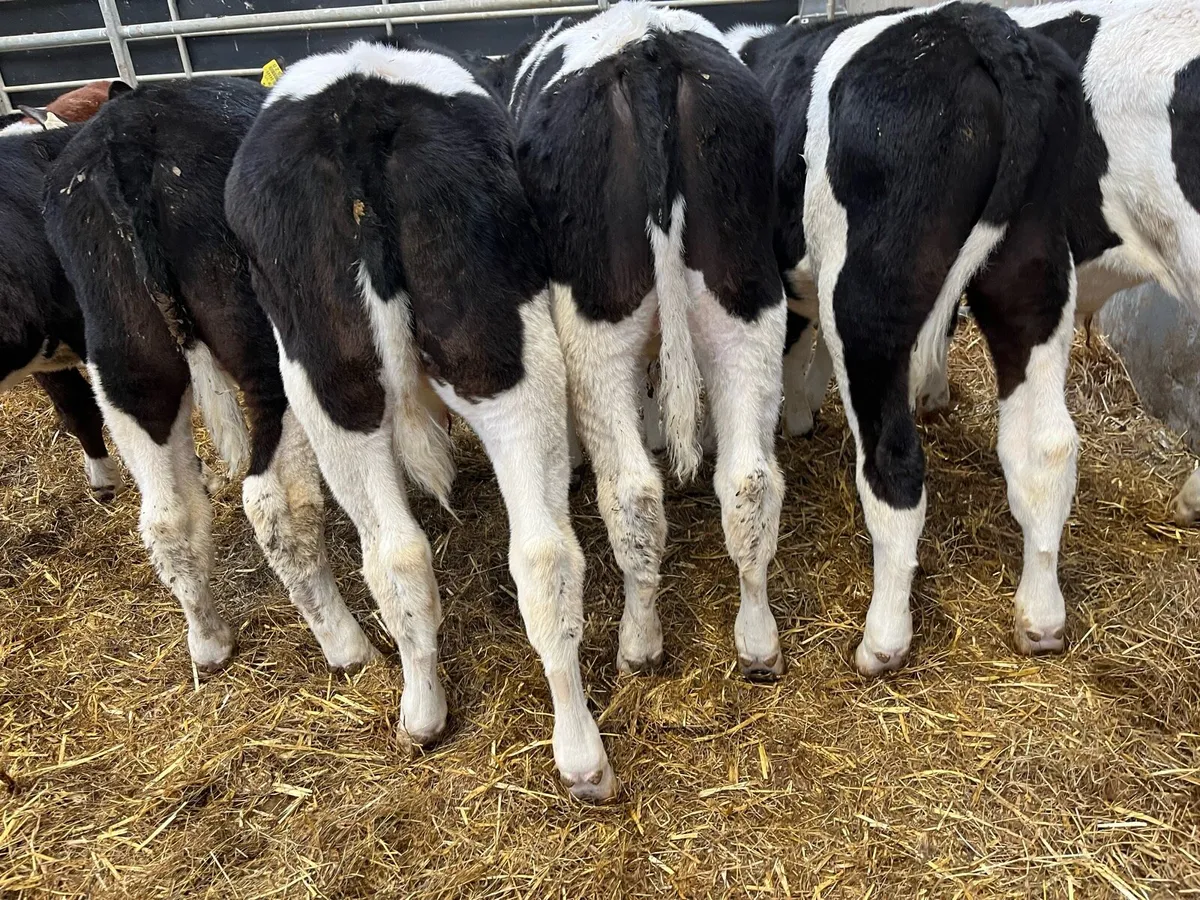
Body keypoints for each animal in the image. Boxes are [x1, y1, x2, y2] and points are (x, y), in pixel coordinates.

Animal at [225, 39, 615, 801]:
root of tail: (357, 114)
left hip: (333, 383)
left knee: (399, 552)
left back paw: (426, 708)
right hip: (502, 361)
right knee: (528, 552)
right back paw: (577, 753)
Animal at [475, 3, 790, 682]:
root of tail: (649, 49)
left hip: (596, 324)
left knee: (632, 494)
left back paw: (639, 643)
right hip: (746, 298)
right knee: (750, 482)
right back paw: (757, 642)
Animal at [730, 3, 1084, 675]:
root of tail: (974, 26)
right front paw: (798, 414)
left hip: (867, 300)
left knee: (894, 464)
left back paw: (883, 640)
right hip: (1034, 272)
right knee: (1047, 448)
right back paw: (1042, 618)